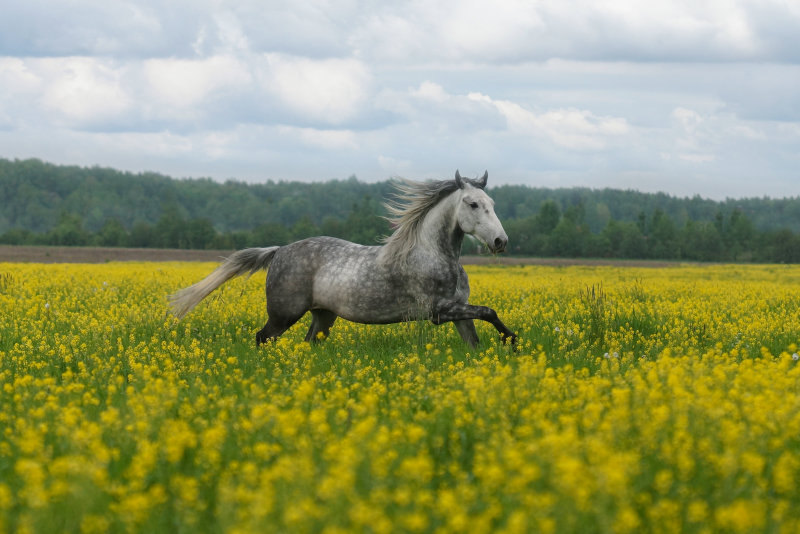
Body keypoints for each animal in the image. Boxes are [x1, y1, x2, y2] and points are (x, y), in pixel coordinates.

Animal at [170, 170, 520, 350]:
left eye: (492, 203)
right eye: (472, 204)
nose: (500, 241)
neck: (433, 253)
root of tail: (279, 251)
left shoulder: (459, 312)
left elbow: (475, 340)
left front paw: (507, 344)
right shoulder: (438, 311)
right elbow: (489, 311)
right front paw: (512, 342)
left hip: (323, 316)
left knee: (309, 342)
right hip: (284, 314)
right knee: (262, 338)